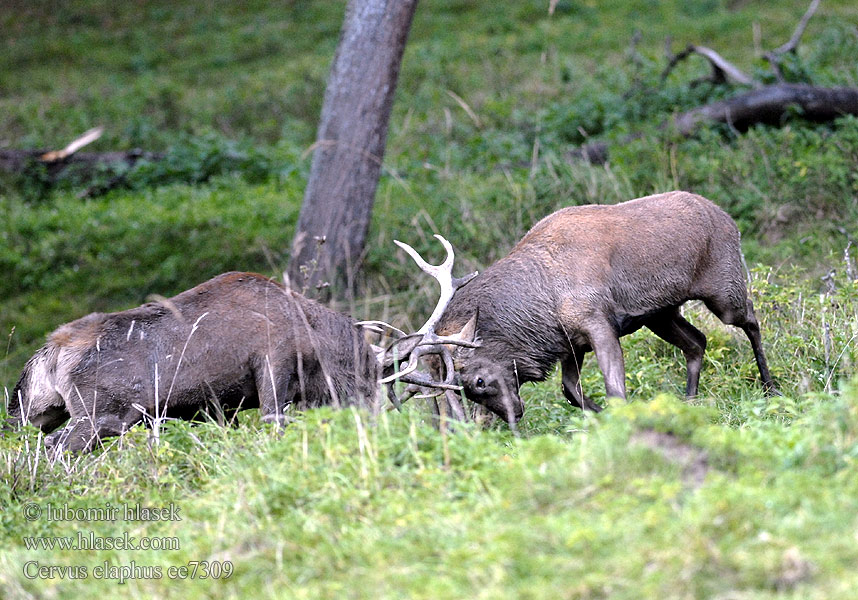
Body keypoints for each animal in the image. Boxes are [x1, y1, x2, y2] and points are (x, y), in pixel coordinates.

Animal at [388, 191, 776, 422]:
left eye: (478, 381)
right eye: (463, 390)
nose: (514, 415)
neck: (542, 306)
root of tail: (727, 217)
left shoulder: (598, 323)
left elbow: (614, 387)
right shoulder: (569, 344)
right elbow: (571, 391)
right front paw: (598, 416)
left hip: (723, 288)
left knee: (751, 318)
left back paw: (770, 387)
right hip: (661, 314)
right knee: (697, 342)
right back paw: (689, 401)